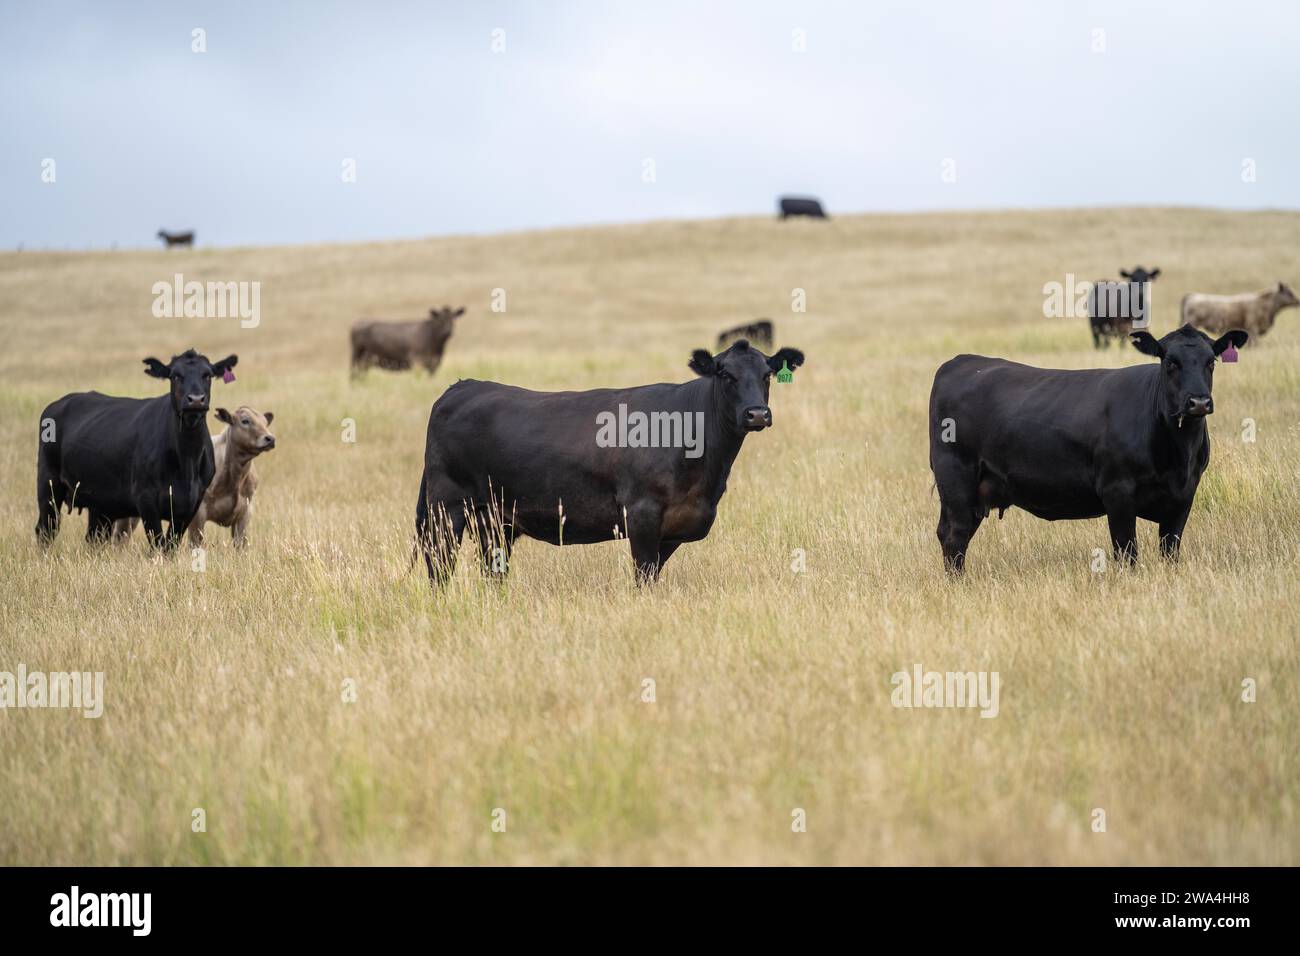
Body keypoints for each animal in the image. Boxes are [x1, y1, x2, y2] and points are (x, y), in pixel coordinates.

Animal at [35, 348, 237, 548]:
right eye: (175, 376)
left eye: (208, 375)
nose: (195, 400)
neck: (187, 460)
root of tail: (58, 404)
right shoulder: (145, 498)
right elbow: (158, 543)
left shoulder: (192, 503)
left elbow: (170, 545)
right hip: (49, 485)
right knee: (46, 530)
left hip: (100, 501)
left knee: (94, 537)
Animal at [413, 340, 800, 587]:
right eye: (725, 375)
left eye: (767, 375)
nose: (757, 414)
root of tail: (462, 386)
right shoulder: (642, 514)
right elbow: (643, 578)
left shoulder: (674, 528)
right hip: (446, 508)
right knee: (439, 567)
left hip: (494, 520)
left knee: (493, 571)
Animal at [925, 325, 1248, 572]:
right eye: (1170, 362)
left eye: (1211, 362)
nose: (1198, 402)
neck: (1178, 456)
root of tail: (962, 362)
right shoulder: (1117, 492)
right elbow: (1126, 552)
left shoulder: (1184, 497)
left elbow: (1170, 551)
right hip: (956, 478)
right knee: (955, 535)